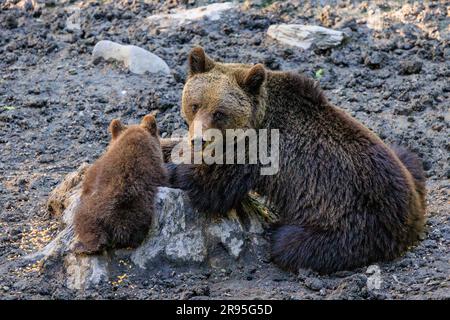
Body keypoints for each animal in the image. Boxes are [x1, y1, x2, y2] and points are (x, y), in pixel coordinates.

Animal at [163, 46, 424, 274]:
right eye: (195, 104)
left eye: (219, 113)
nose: (198, 140)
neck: (259, 118)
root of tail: (414, 214)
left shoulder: (257, 153)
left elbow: (210, 186)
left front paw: (173, 170)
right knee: (409, 156)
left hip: (351, 222)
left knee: (293, 246)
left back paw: (278, 233)